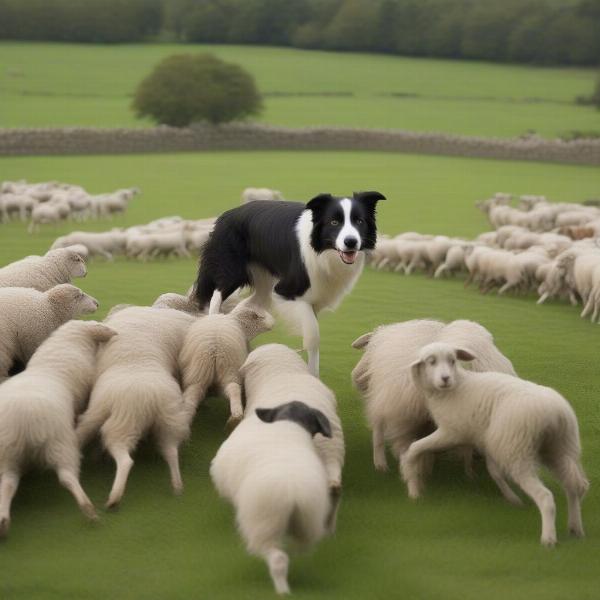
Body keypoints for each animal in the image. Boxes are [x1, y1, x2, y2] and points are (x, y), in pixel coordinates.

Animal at [0, 322, 118, 536]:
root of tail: (24, 419)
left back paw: (3, 521)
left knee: (9, 483)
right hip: (59, 443)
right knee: (66, 477)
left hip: (9, 452)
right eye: (103, 327)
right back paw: (88, 508)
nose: (115, 333)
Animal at [195, 191, 386, 376]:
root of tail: (227, 214)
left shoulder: (313, 298)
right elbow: (313, 336)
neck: (322, 252)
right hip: (233, 272)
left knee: (245, 305)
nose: (351, 242)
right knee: (216, 297)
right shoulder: (286, 291)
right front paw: (312, 376)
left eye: (359, 221)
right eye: (334, 222)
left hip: (264, 284)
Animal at [210, 398, 332, 596]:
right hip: (308, 520)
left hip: (264, 524)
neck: (289, 423)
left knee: (278, 558)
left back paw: (283, 590)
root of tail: (292, 491)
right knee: (301, 545)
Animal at [400, 340, 588, 548]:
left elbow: (414, 448)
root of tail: (555, 414)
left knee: (546, 497)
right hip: (560, 448)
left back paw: (548, 539)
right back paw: (575, 528)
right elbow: (494, 471)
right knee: (575, 486)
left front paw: (412, 486)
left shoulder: (451, 432)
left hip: (517, 450)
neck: (455, 387)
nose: (445, 379)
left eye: (452, 360)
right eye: (431, 361)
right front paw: (512, 498)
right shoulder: (487, 441)